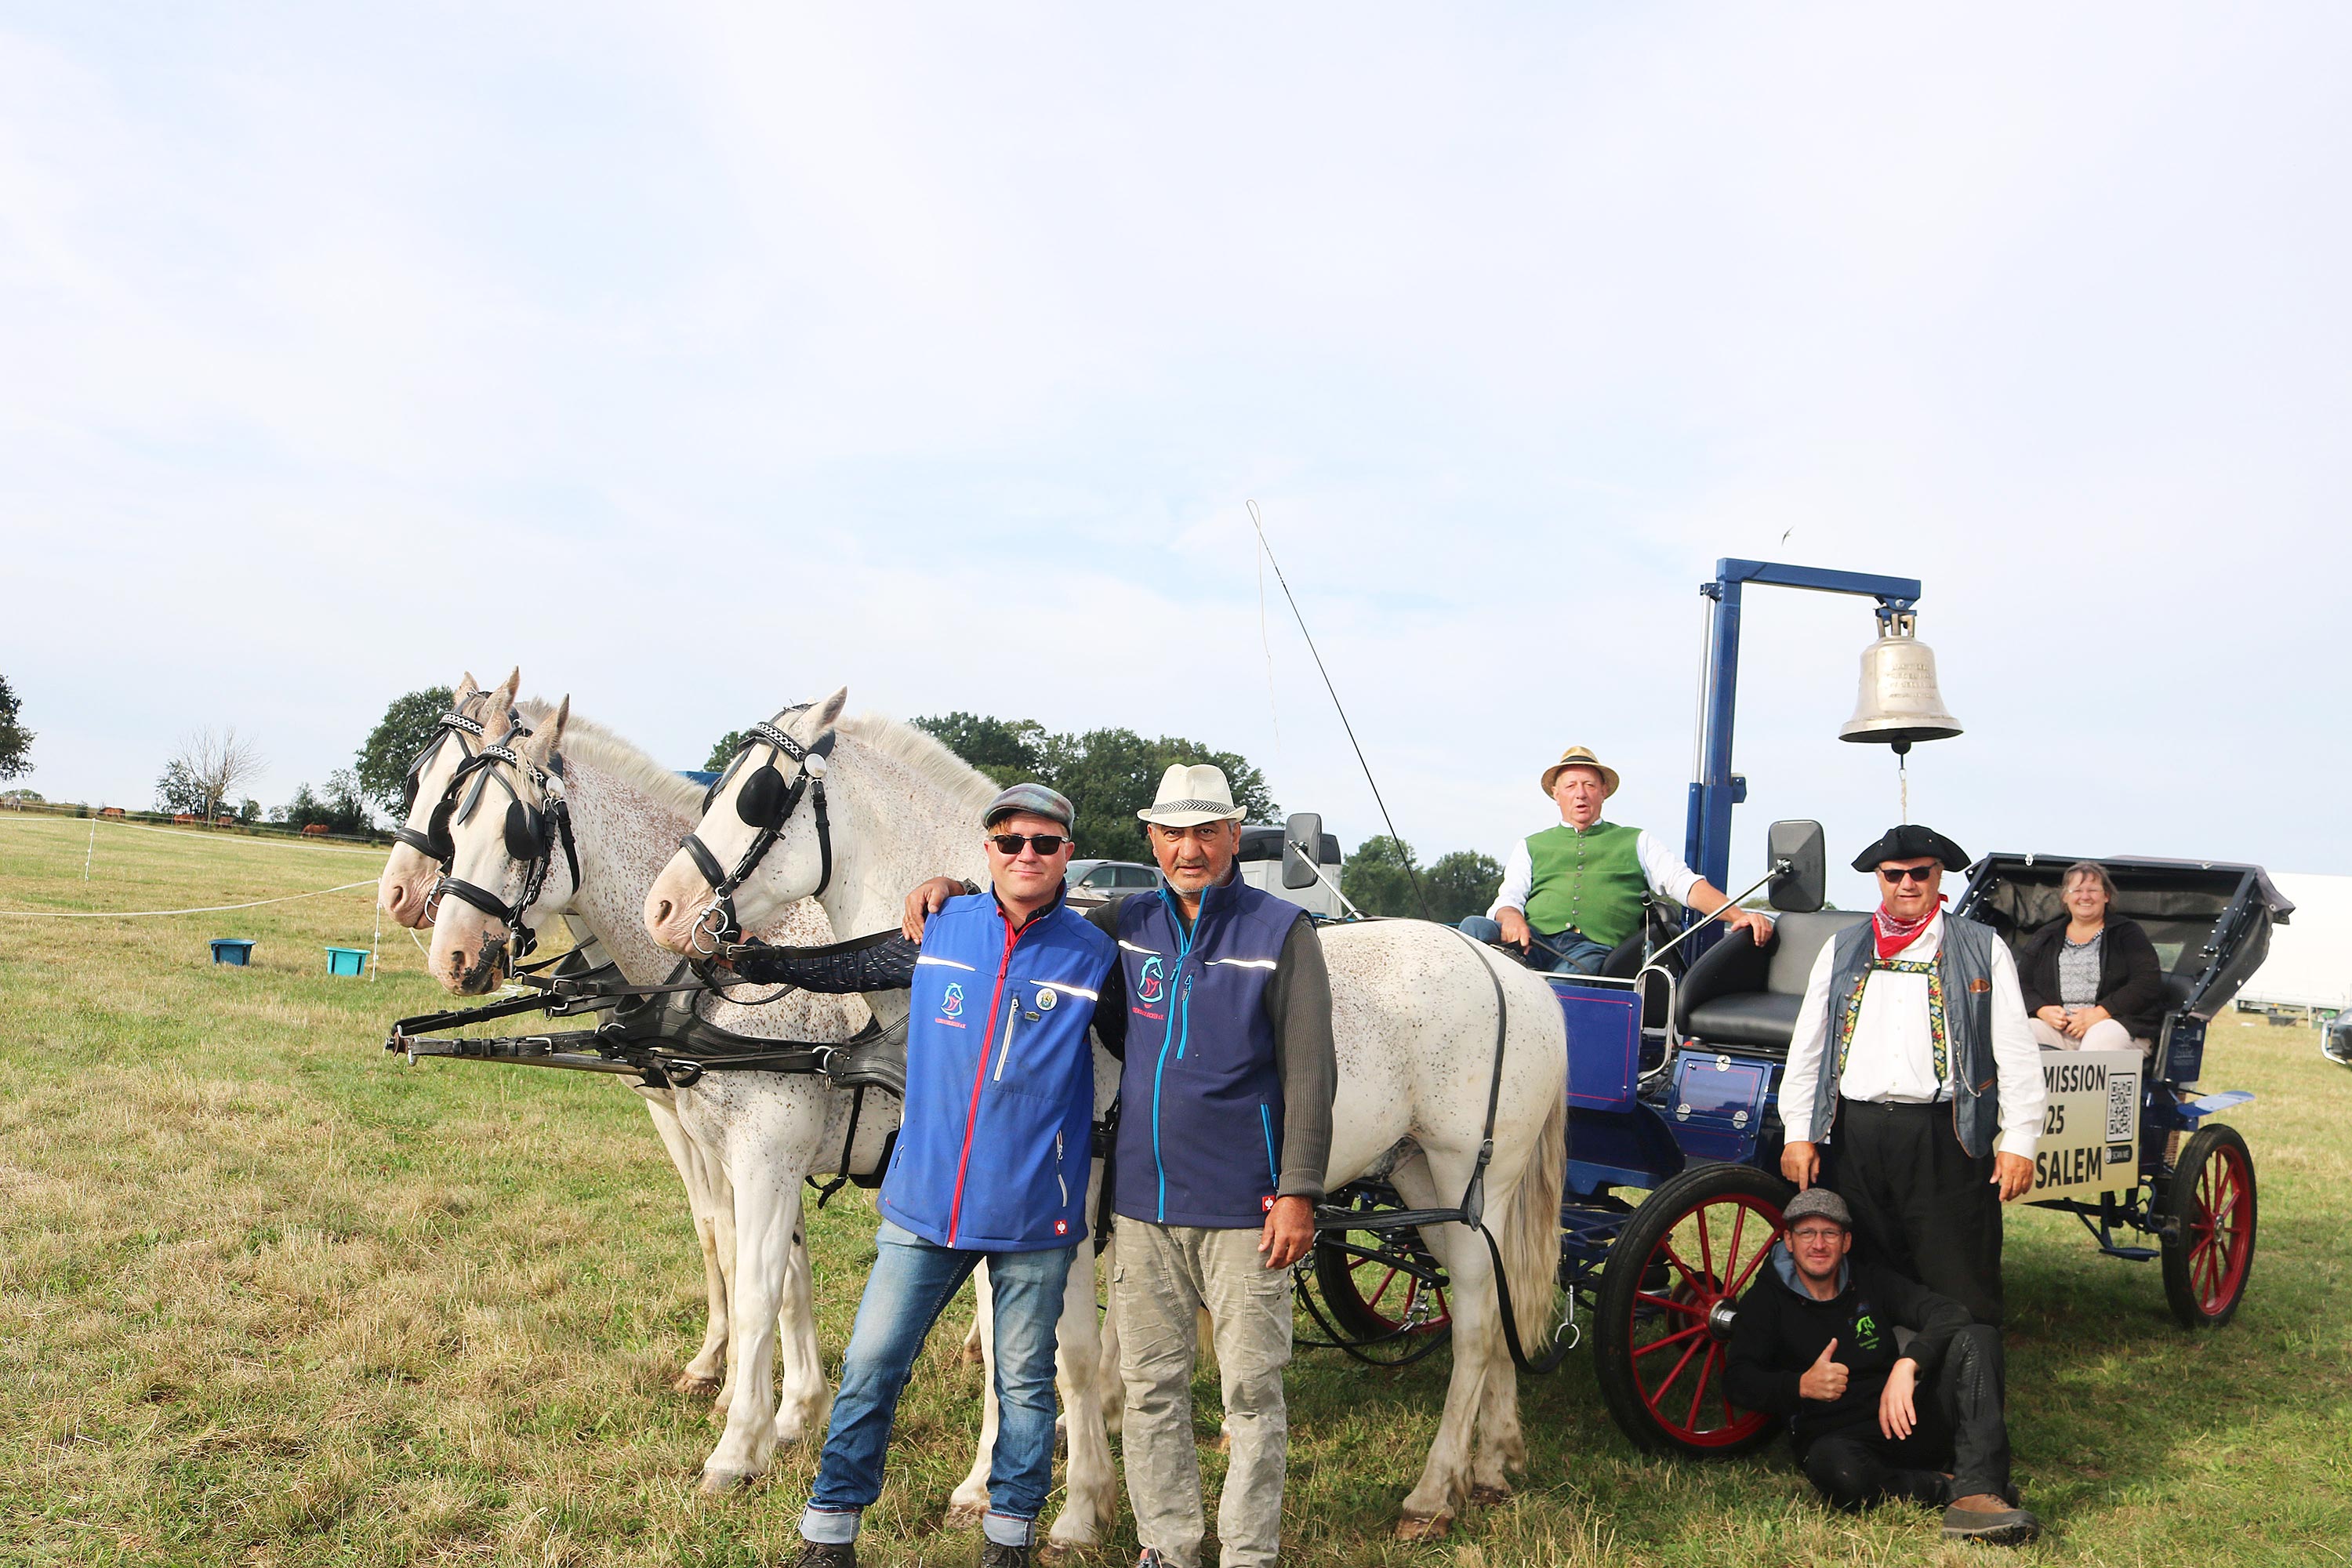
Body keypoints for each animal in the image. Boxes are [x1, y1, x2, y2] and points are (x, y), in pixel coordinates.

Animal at [376, 672, 734, 1401]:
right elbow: (712, 1226)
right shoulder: (671, 1107)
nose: (396, 895)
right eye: (420, 780)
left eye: (450, 792)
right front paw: (711, 1359)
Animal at [419, 695, 870, 1486]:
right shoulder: (726, 1142)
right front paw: (788, 1409)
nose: (451, 955)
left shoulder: (765, 1150)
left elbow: (755, 1275)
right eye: (453, 814)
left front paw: (738, 1428)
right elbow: (772, 1267)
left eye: (517, 831)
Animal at [649, 691, 1562, 1542]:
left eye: (757, 796)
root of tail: (1514, 974)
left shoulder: (1072, 1197)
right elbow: (1014, 1337)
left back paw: (1433, 1491)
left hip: (1470, 1176)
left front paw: (1080, 1505)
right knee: (1490, 1310)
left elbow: (1072, 1351)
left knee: (1477, 1323)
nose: (664, 908)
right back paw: (1492, 1460)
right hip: (1425, 1182)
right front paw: (1001, 1485)